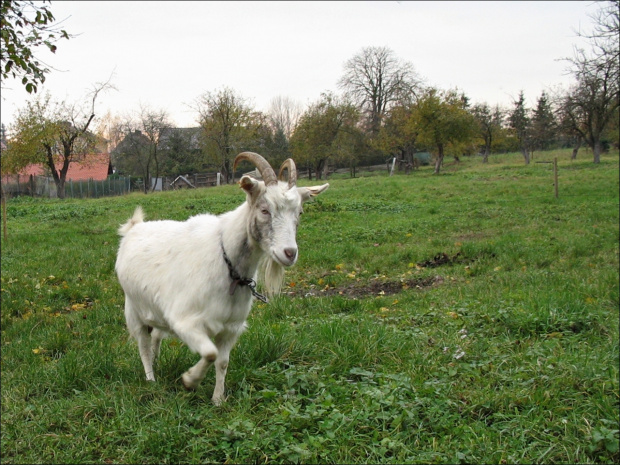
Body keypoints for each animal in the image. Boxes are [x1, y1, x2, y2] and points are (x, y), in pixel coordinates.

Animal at [116, 151, 330, 402]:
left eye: (300, 212)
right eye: (264, 210)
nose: (289, 253)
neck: (228, 264)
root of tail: (134, 227)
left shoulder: (231, 328)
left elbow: (222, 361)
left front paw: (218, 399)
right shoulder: (186, 321)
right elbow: (210, 353)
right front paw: (190, 381)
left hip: (158, 311)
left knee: (157, 336)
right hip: (133, 309)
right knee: (143, 345)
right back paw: (151, 379)